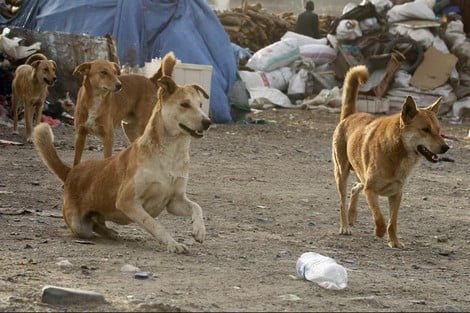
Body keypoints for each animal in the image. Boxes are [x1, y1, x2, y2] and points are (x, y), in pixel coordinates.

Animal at [332, 64, 450, 247]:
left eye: (439, 130)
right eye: (425, 130)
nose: (446, 147)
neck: (398, 151)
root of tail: (350, 116)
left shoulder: (396, 194)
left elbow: (392, 222)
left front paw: (394, 241)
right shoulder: (371, 191)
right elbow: (380, 218)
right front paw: (379, 232)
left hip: (360, 175)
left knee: (355, 187)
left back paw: (352, 215)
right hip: (341, 173)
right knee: (343, 201)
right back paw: (345, 225)